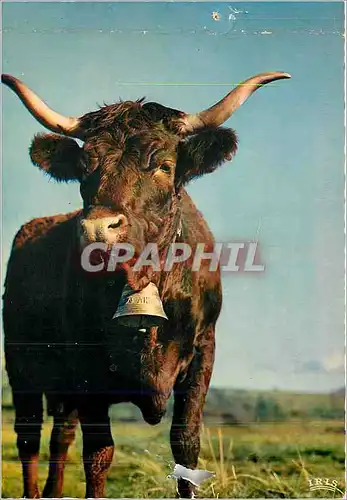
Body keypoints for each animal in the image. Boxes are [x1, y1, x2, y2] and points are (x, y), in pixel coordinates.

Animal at [2, 71, 290, 500]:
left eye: (166, 166)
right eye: (84, 167)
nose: (97, 229)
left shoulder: (203, 352)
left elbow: (185, 446)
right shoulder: (87, 369)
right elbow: (98, 454)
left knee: (60, 434)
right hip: (21, 364)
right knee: (28, 435)